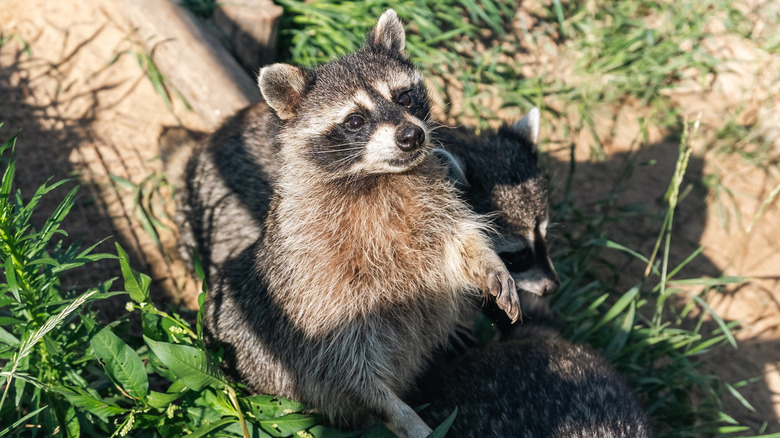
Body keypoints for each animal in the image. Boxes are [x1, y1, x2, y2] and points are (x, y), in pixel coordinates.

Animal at [203, 10, 520, 437]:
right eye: (355, 120)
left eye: (404, 97)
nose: (411, 135)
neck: (377, 179)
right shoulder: (314, 283)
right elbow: (342, 366)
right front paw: (399, 413)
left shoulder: (433, 205)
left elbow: (459, 239)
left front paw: (490, 265)